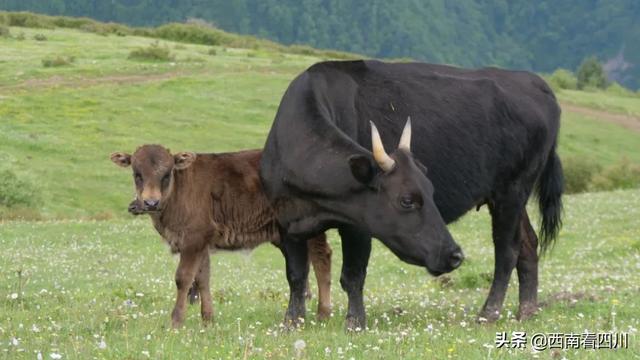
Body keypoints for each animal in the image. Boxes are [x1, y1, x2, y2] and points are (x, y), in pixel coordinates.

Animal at [110, 145, 332, 328]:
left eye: (167, 174)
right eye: (137, 174)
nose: (150, 203)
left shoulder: (193, 240)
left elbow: (183, 278)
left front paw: (176, 321)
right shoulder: (201, 243)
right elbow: (202, 278)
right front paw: (208, 319)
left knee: (321, 259)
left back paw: (322, 314)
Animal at [258, 59, 564, 330]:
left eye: (430, 191)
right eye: (406, 200)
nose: (454, 255)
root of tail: (533, 81)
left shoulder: (359, 225)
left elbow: (353, 275)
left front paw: (355, 323)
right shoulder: (286, 221)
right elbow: (296, 275)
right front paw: (292, 322)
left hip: (512, 190)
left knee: (507, 249)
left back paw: (488, 313)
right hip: (508, 196)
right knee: (528, 243)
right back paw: (527, 311)